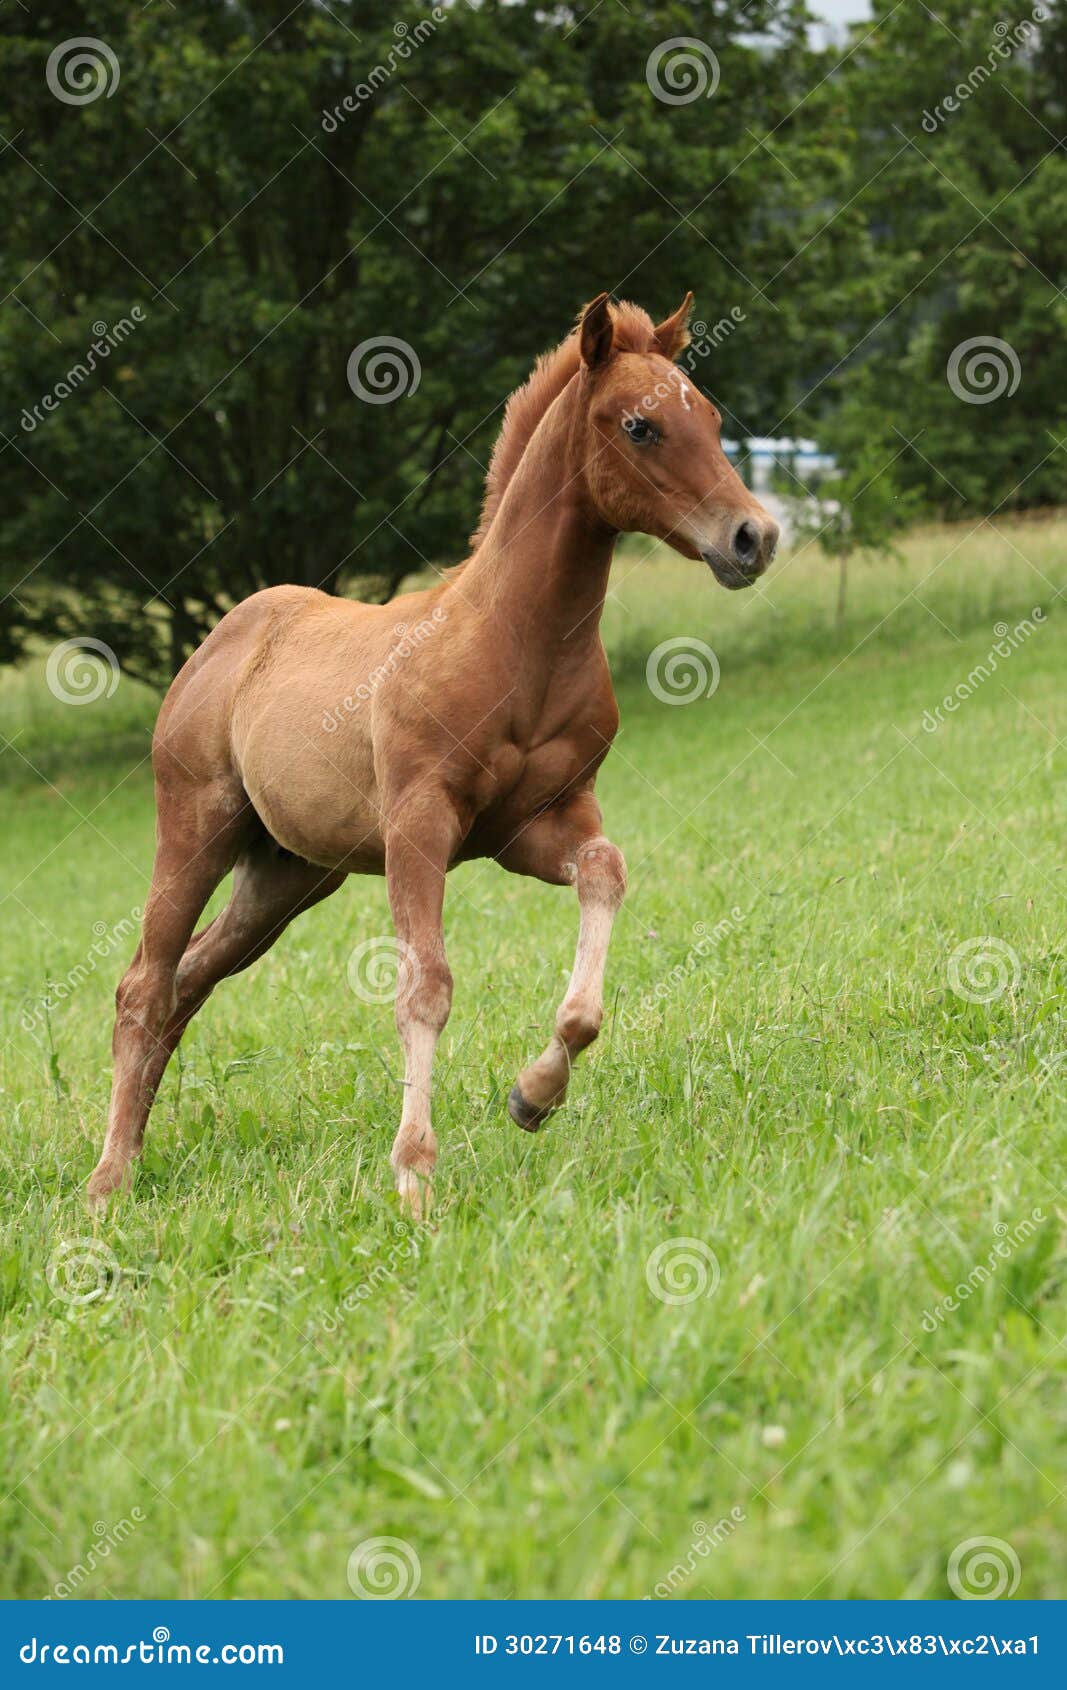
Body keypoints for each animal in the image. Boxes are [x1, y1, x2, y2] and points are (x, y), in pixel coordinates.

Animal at [88, 292, 778, 1217]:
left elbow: (604, 876)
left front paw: (533, 1096)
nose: (752, 538)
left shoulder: (537, 823)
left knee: (188, 980)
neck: (517, 640)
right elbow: (425, 986)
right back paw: (106, 1182)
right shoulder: (421, 824)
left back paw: (132, 1150)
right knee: (144, 983)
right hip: (195, 826)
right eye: (639, 426)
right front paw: (414, 1175)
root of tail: (221, 641)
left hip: (288, 876)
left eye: (709, 417)